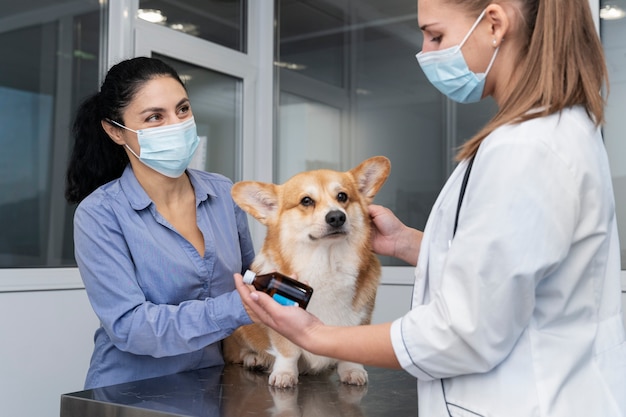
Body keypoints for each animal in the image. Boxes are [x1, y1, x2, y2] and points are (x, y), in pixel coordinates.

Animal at [222, 155, 388, 386]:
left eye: (342, 196)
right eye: (306, 201)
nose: (337, 217)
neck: (326, 263)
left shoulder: (361, 317)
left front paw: (352, 370)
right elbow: (287, 351)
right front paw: (284, 374)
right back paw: (254, 358)